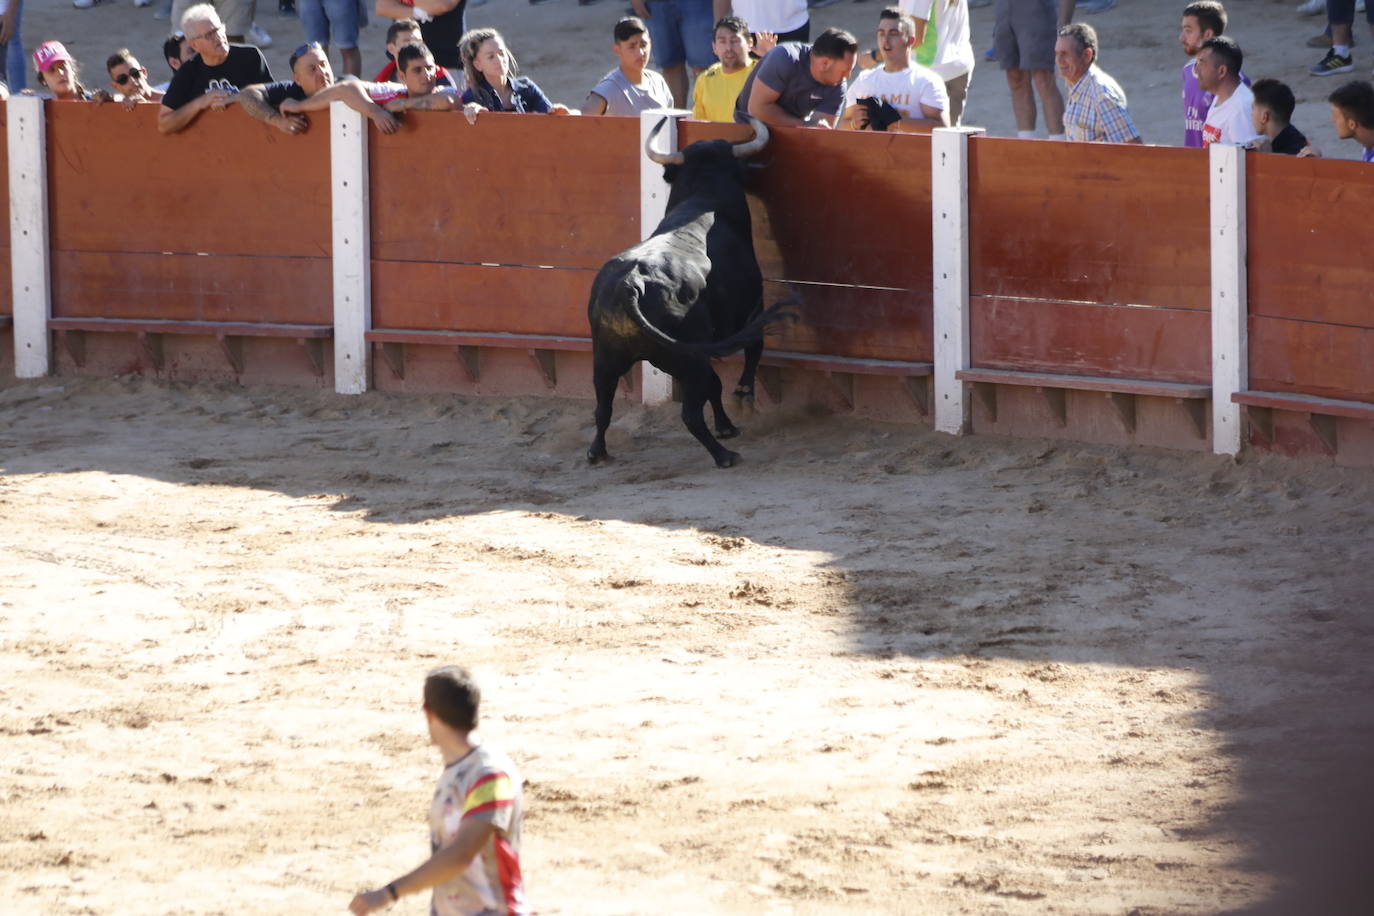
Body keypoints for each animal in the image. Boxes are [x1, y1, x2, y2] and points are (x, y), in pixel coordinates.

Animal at [585, 117, 791, 469]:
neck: (704, 196)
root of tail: (632, 284)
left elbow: (715, 384)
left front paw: (726, 424)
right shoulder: (751, 305)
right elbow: (752, 350)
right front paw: (741, 401)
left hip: (608, 357)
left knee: (603, 407)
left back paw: (597, 452)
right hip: (684, 357)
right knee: (691, 413)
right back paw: (724, 456)